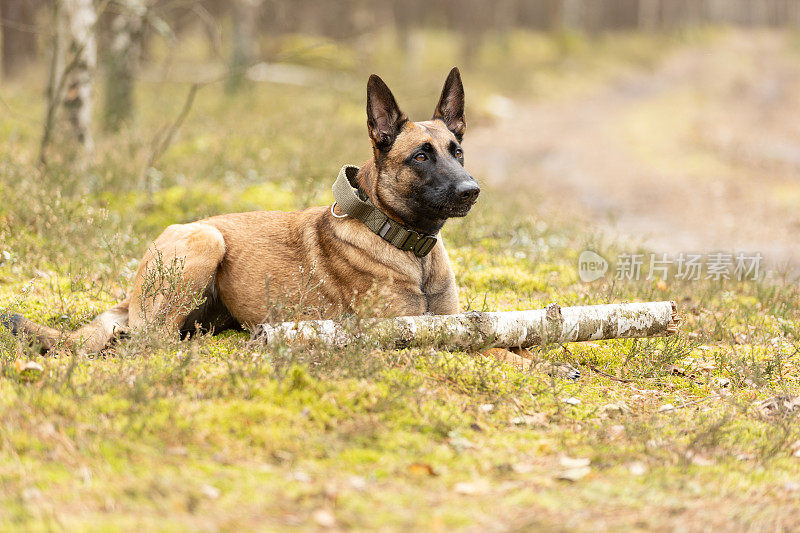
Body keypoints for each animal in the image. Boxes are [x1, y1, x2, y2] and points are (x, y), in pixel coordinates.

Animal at [0, 67, 478, 354]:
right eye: (421, 156)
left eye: (457, 151)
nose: (472, 191)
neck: (409, 246)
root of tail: (131, 294)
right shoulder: (402, 324)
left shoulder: (448, 317)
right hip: (205, 240)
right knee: (147, 339)